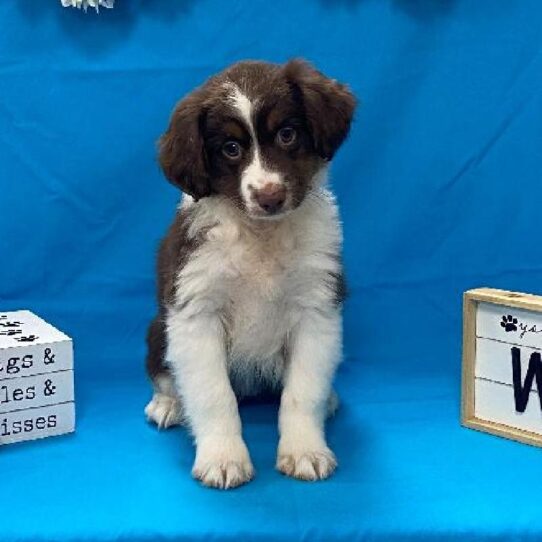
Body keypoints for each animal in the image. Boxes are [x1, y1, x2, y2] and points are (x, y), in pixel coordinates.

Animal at [144, 57, 356, 490]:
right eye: (230, 149)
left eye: (288, 134)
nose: (270, 196)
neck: (261, 235)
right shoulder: (196, 311)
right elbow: (213, 395)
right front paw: (223, 458)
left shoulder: (317, 308)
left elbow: (303, 390)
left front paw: (305, 450)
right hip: (158, 330)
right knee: (167, 374)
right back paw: (168, 403)